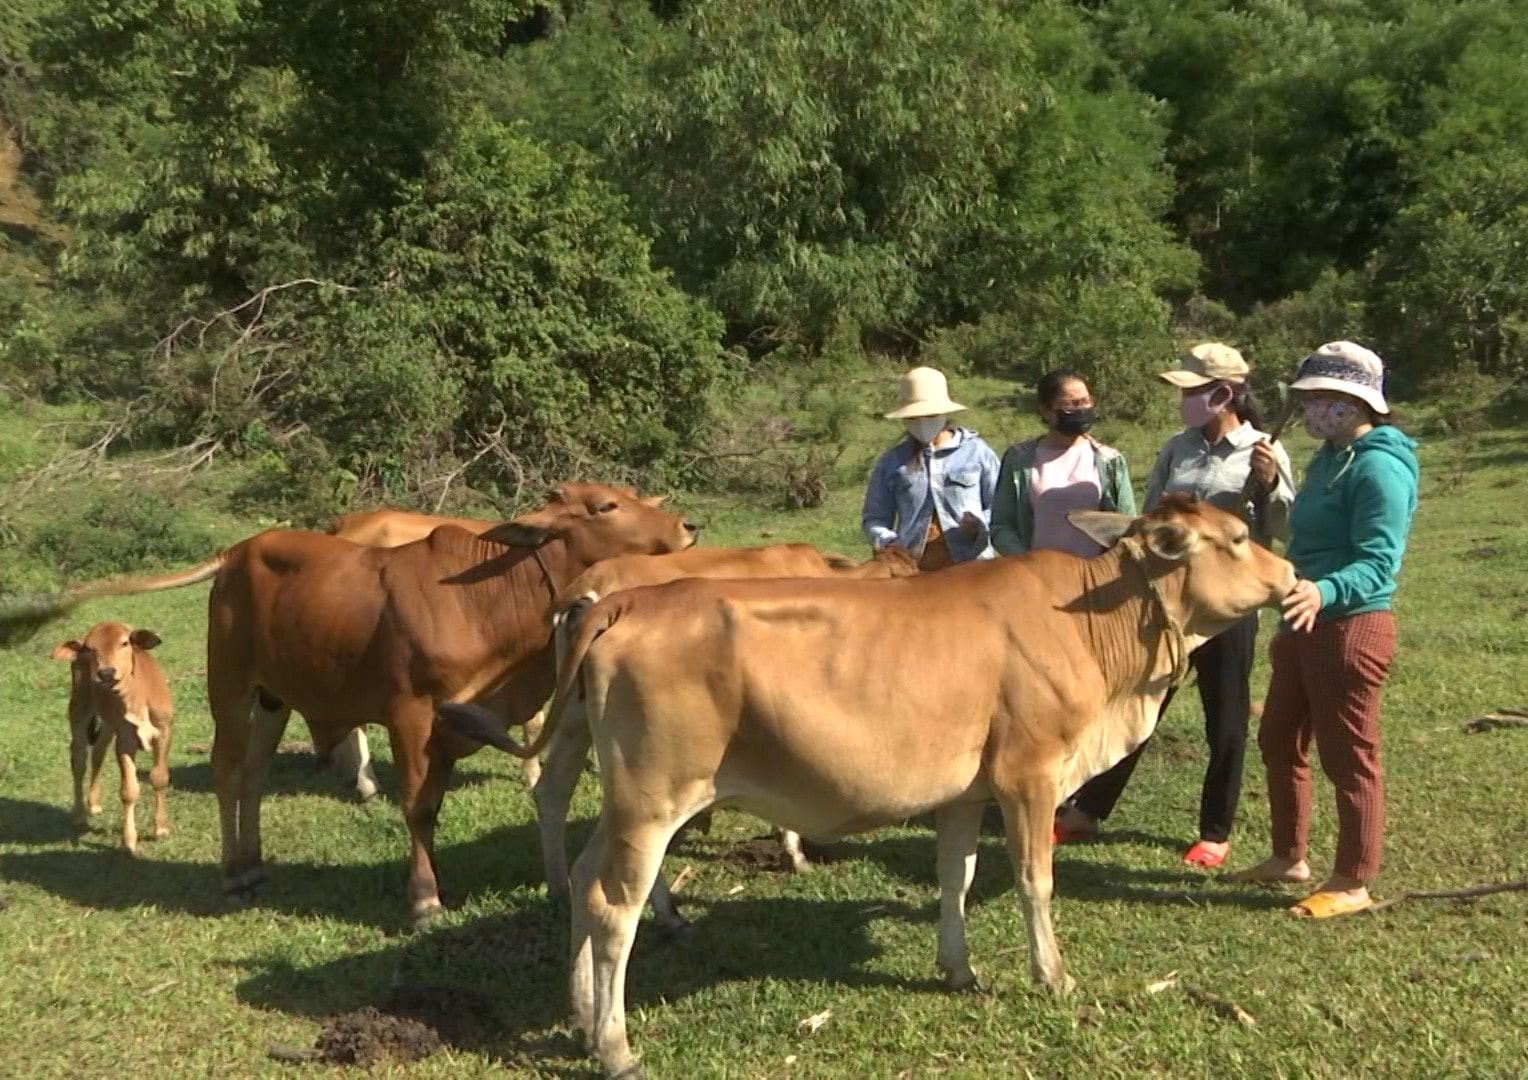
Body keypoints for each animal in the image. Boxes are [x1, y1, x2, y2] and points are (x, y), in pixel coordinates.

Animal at [51, 620, 174, 855]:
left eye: (125, 643)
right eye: (91, 648)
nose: (106, 673)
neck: (136, 700)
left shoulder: (164, 732)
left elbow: (159, 778)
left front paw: (161, 829)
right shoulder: (125, 741)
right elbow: (129, 791)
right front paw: (129, 842)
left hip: (108, 723)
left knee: (98, 752)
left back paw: (94, 804)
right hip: (79, 708)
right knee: (79, 759)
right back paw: (80, 814)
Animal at [446, 494, 1289, 1075]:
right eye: (1237, 538)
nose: (1290, 575)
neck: (1090, 622)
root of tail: (624, 599)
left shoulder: (965, 791)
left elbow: (956, 875)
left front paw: (959, 968)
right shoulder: (1029, 773)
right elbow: (1032, 880)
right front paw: (1052, 976)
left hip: (618, 796)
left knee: (585, 877)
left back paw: (582, 1017)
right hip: (653, 800)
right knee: (611, 907)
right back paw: (616, 1044)